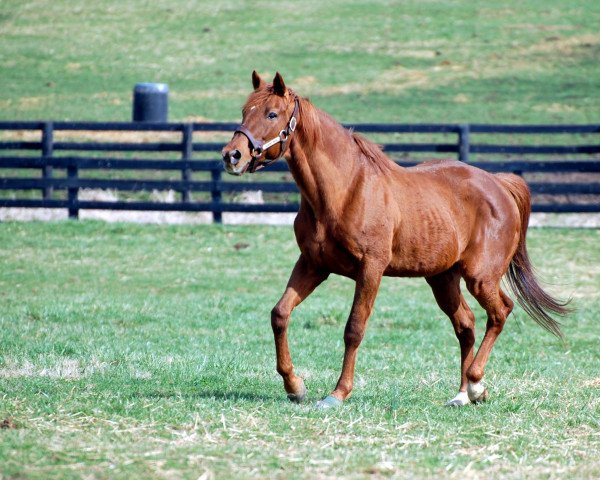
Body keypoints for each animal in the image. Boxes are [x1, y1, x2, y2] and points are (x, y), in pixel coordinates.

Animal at [223, 72, 568, 408]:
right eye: (244, 111)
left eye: (272, 113)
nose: (232, 155)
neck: (345, 189)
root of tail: (499, 184)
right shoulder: (313, 265)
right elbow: (280, 314)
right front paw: (295, 386)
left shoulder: (371, 269)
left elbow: (354, 328)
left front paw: (337, 394)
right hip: (443, 278)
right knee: (466, 324)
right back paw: (462, 394)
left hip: (480, 277)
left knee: (499, 313)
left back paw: (475, 383)